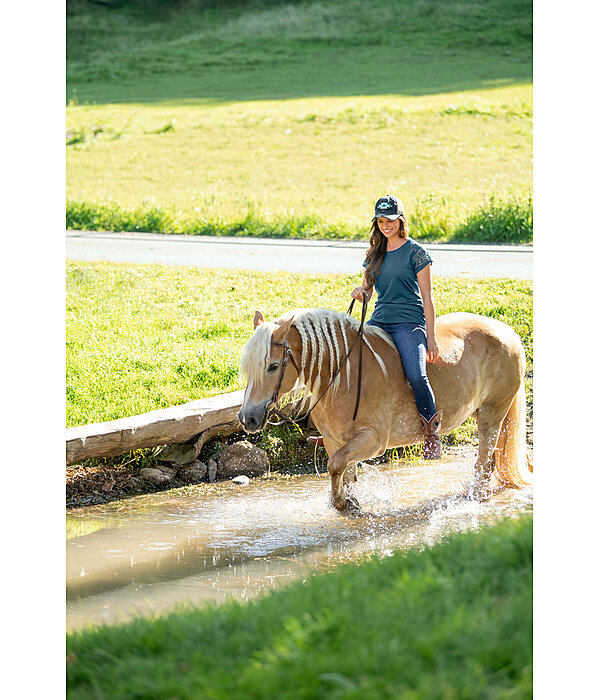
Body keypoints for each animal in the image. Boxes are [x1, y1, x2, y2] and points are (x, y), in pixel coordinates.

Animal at [237, 306, 532, 516]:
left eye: (273, 366)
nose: (247, 418)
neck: (342, 376)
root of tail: (508, 331)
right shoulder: (334, 441)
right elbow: (343, 470)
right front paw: (348, 501)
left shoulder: (374, 440)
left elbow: (335, 466)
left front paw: (343, 503)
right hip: (481, 412)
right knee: (491, 459)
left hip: (493, 413)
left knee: (484, 458)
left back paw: (474, 494)